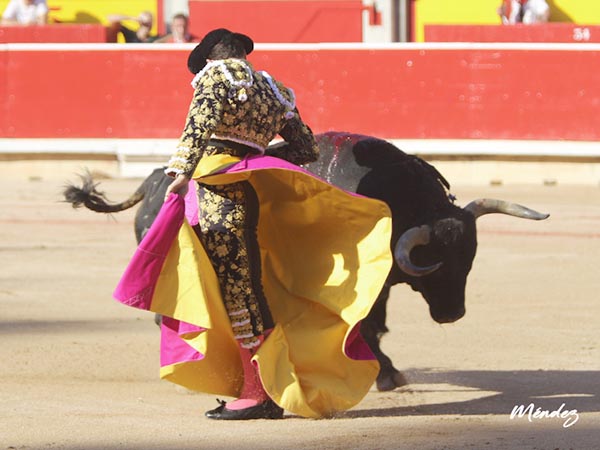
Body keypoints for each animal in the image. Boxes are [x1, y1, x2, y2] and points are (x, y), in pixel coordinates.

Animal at [64, 132, 548, 392]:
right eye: (438, 262)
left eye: (469, 260)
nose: (452, 314)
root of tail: (151, 183)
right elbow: (365, 326)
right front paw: (384, 373)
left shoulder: (380, 284)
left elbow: (374, 324)